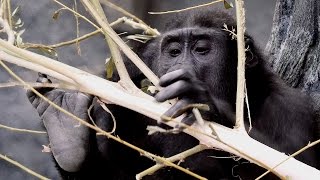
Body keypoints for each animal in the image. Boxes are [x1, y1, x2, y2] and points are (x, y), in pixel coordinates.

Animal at [26, 8, 318, 180]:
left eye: (201, 50)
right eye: (174, 52)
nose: (180, 66)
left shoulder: (292, 108)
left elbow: (297, 167)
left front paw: (201, 103)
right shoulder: (128, 76)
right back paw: (65, 130)